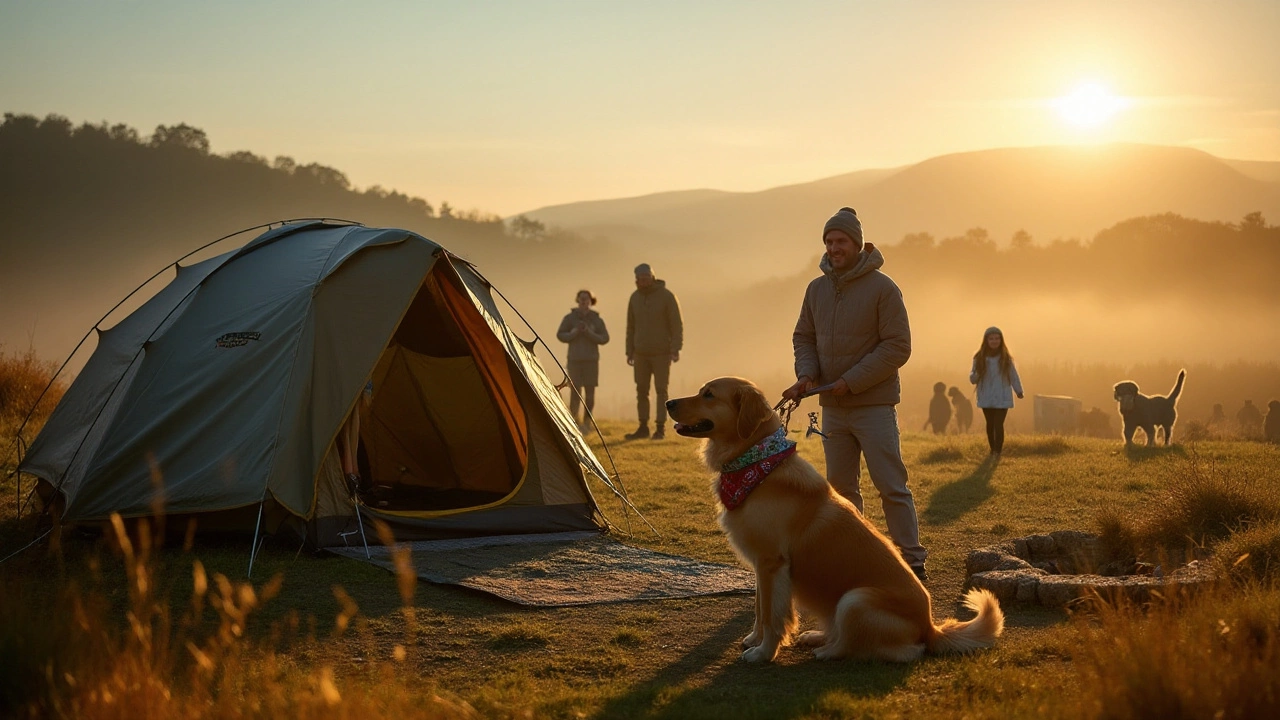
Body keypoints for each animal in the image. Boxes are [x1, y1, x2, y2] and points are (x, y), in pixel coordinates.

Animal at [665, 376, 1003, 661]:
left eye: (709, 394)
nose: (668, 402)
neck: (755, 465)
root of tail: (930, 627)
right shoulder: (761, 564)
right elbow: (760, 610)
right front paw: (754, 640)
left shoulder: (773, 563)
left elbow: (773, 616)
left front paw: (763, 653)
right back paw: (817, 636)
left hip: (855, 599)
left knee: (882, 648)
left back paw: (826, 650)